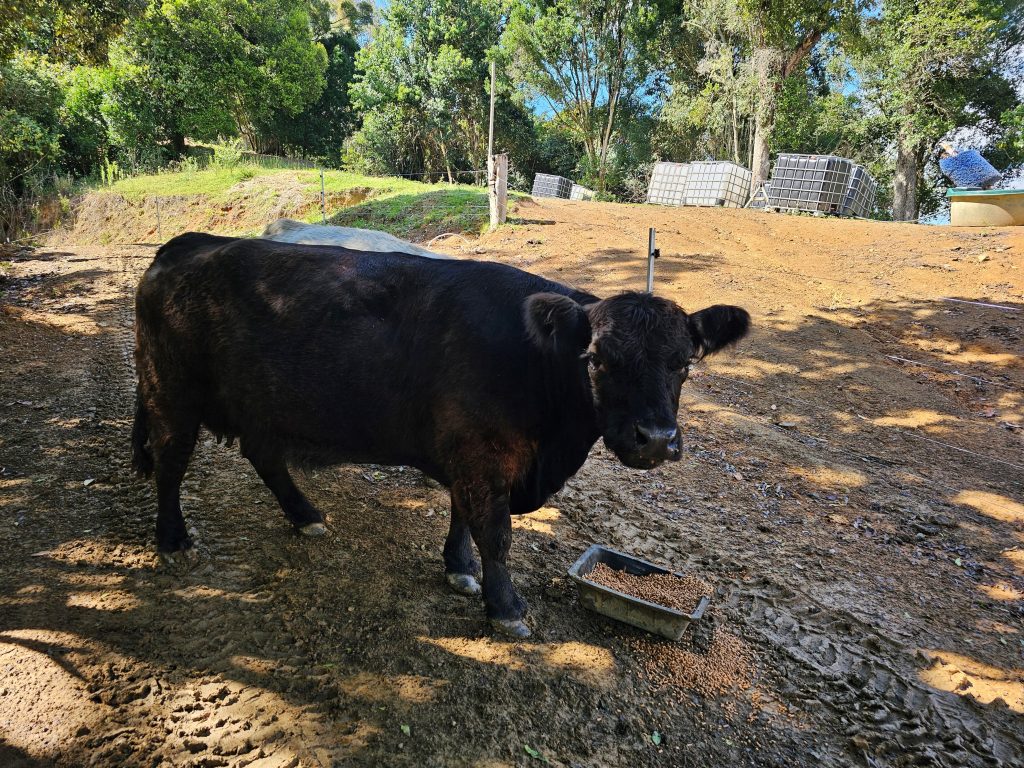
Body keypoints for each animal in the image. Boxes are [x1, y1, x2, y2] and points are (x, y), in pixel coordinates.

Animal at [132, 233, 749, 638]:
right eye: (597, 359)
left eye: (684, 364)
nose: (656, 438)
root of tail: (188, 245)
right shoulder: (482, 453)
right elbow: (495, 532)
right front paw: (506, 608)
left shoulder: (470, 454)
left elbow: (462, 516)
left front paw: (459, 569)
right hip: (172, 392)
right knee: (170, 461)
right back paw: (173, 539)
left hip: (257, 405)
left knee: (264, 456)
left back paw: (305, 515)